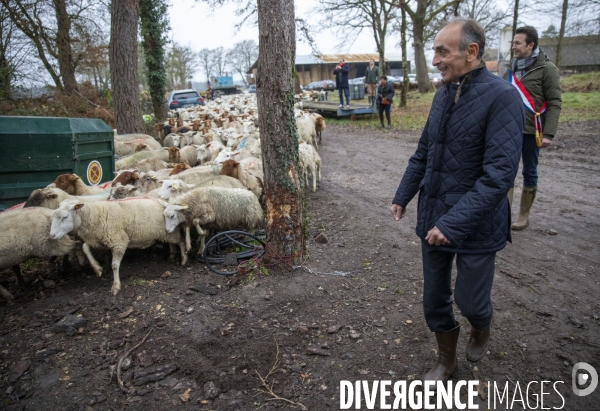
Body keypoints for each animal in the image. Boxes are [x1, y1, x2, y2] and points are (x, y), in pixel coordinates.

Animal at [51, 198, 188, 294]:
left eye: (65, 217)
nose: (52, 235)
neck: (95, 215)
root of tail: (165, 202)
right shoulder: (96, 239)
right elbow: (85, 247)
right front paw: (97, 268)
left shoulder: (119, 241)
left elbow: (115, 265)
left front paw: (116, 286)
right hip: (167, 232)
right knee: (172, 243)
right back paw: (172, 255)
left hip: (171, 231)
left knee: (181, 242)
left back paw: (183, 259)